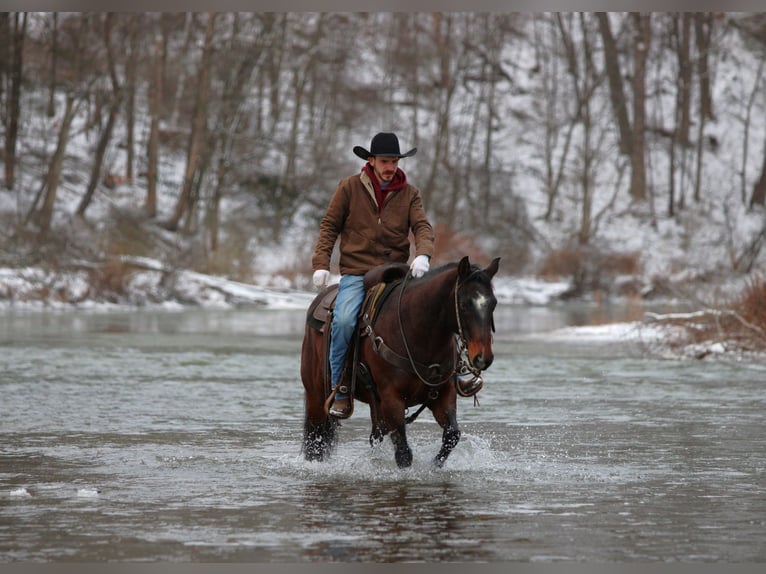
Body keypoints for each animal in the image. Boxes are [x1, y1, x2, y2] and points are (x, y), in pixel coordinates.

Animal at [300, 255, 500, 468]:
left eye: (493, 304)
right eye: (463, 305)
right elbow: (403, 454)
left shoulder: (444, 395)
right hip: (316, 395)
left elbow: (452, 435)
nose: (483, 357)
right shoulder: (392, 398)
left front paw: (435, 465)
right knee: (315, 439)